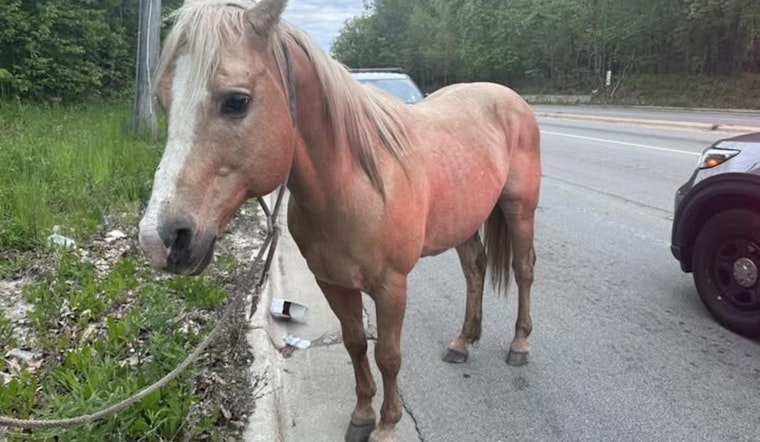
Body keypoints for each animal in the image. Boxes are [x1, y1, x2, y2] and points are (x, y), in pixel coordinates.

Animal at [137, 1, 541, 441]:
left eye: (237, 101)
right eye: (163, 100)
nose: (159, 239)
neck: (356, 184)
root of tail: (510, 99)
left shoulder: (391, 286)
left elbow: (388, 355)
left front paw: (387, 424)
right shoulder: (332, 282)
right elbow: (355, 344)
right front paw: (362, 415)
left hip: (520, 210)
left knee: (523, 270)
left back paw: (519, 345)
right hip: (464, 220)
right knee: (475, 269)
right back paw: (462, 342)